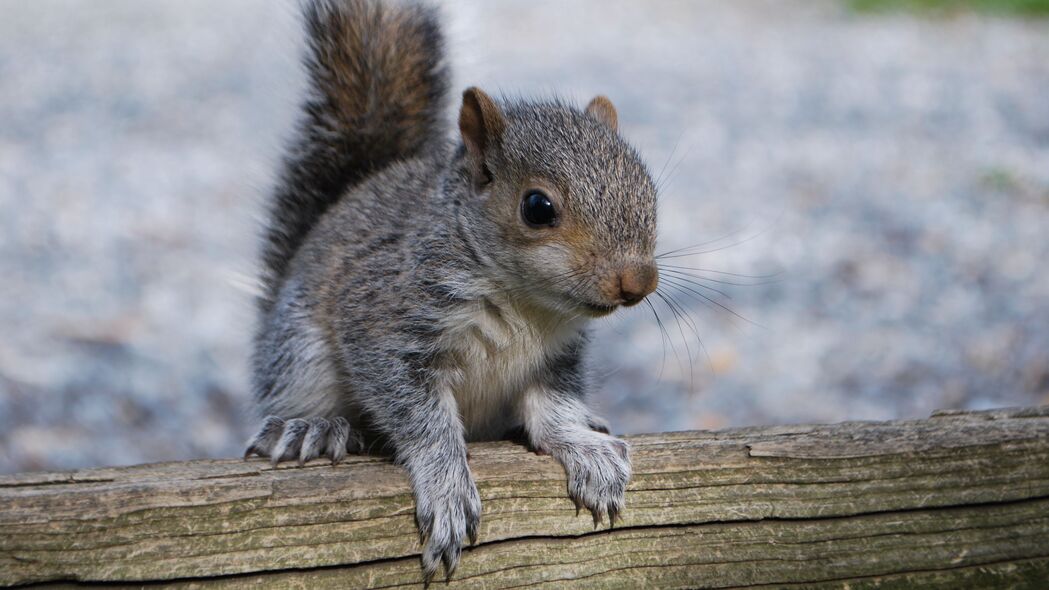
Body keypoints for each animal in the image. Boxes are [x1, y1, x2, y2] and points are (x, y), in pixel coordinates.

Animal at [244, 0, 654, 579]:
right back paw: (312, 427)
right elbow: (419, 415)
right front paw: (446, 487)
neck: (529, 305)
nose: (639, 281)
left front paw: (584, 448)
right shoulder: (389, 322)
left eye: (648, 189)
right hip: (299, 353)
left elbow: (553, 407)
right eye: (537, 207)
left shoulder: (557, 357)